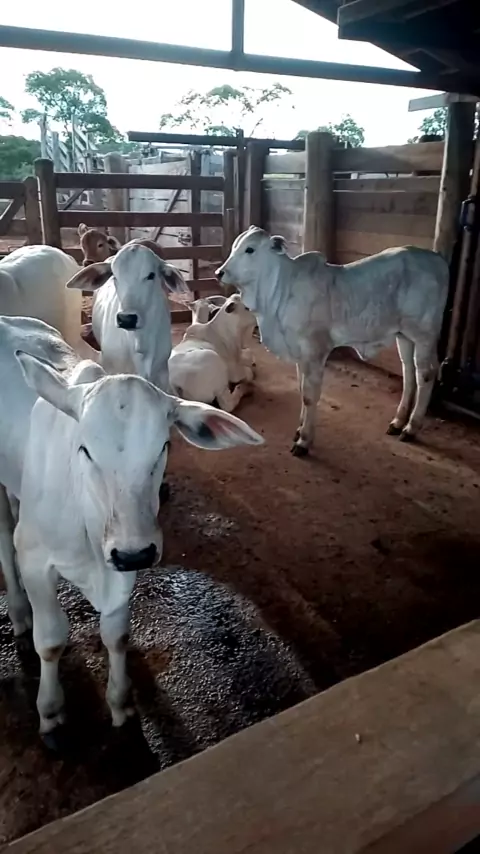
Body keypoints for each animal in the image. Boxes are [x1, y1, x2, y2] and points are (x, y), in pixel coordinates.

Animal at [0, 315, 263, 742]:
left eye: (163, 447)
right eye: (85, 448)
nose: (134, 552)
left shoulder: (125, 557)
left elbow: (117, 635)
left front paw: (121, 701)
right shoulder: (37, 559)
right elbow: (51, 640)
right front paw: (51, 711)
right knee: (5, 539)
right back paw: (20, 612)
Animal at [216, 227, 449, 456]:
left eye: (250, 249)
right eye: (235, 246)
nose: (219, 273)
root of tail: (436, 258)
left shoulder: (314, 351)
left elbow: (309, 396)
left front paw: (304, 441)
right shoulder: (301, 355)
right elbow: (301, 390)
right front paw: (299, 429)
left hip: (424, 333)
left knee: (426, 374)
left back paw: (411, 428)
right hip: (405, 336)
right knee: (409, 373)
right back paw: (398, 422)